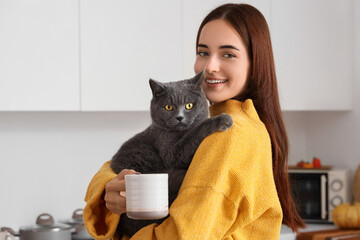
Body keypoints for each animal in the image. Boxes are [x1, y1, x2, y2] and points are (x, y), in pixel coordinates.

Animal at [110, 71, 233, 236]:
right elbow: (194, 133)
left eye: (189, 105)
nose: (179, 117)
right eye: (168, 107)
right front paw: (223, 119)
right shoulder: (170, 151)